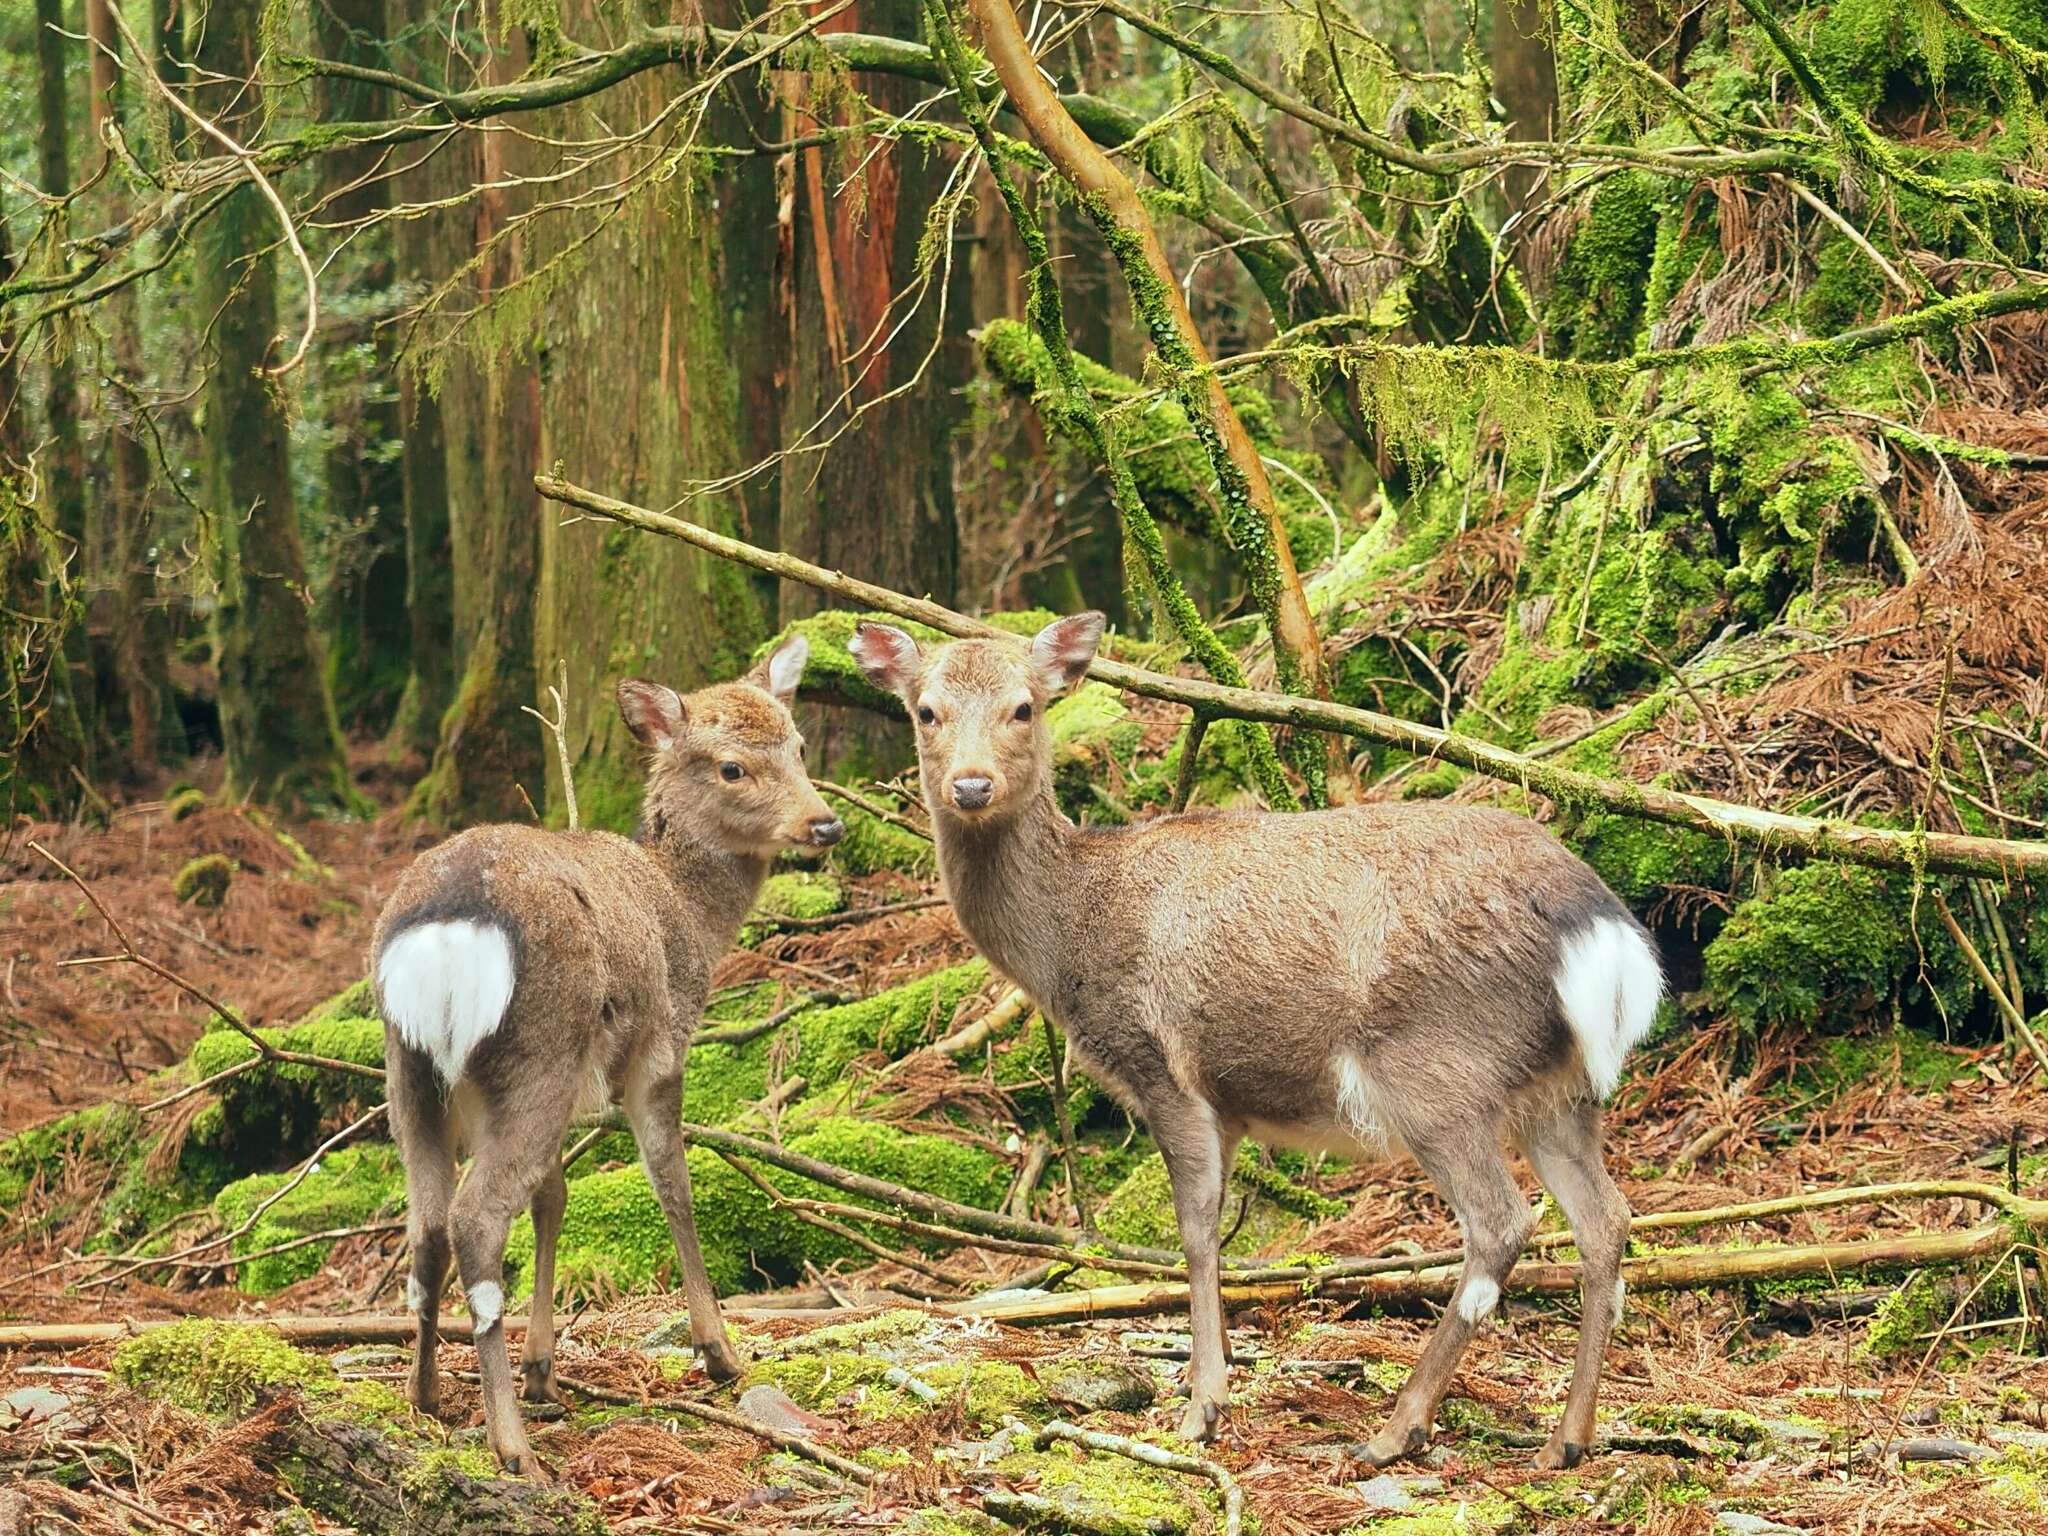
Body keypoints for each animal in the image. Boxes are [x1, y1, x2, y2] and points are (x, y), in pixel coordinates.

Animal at [372, 630, 843, 1474]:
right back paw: (512, 1446)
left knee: (426, 1225)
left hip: (415, 1069)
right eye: (731, 766)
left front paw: (544, 1369)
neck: (690, 915)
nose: (825, 825)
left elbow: (554, 1199)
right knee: (475, 1221)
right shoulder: (663, 1044)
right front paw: (720, 1350)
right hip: (541, 1047)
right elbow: (672, 1181)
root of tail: (449, 934)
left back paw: (425, 1396)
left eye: (797, 744)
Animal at [847, 610, 1662, 1466]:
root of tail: (1599, 930)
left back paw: (1396, 1428)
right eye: (925, 711)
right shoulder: (1229, 1101)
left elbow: (1196, 1229)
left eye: (1024, 708)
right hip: (1561, 1088)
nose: (971, 786)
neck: (1069, 938)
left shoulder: (1161, 1066)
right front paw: (1209, 1373)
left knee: (1501, 1224)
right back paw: (1567, 1438)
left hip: (1436, 1069)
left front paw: (1203, 1404)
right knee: (1606, 1221)